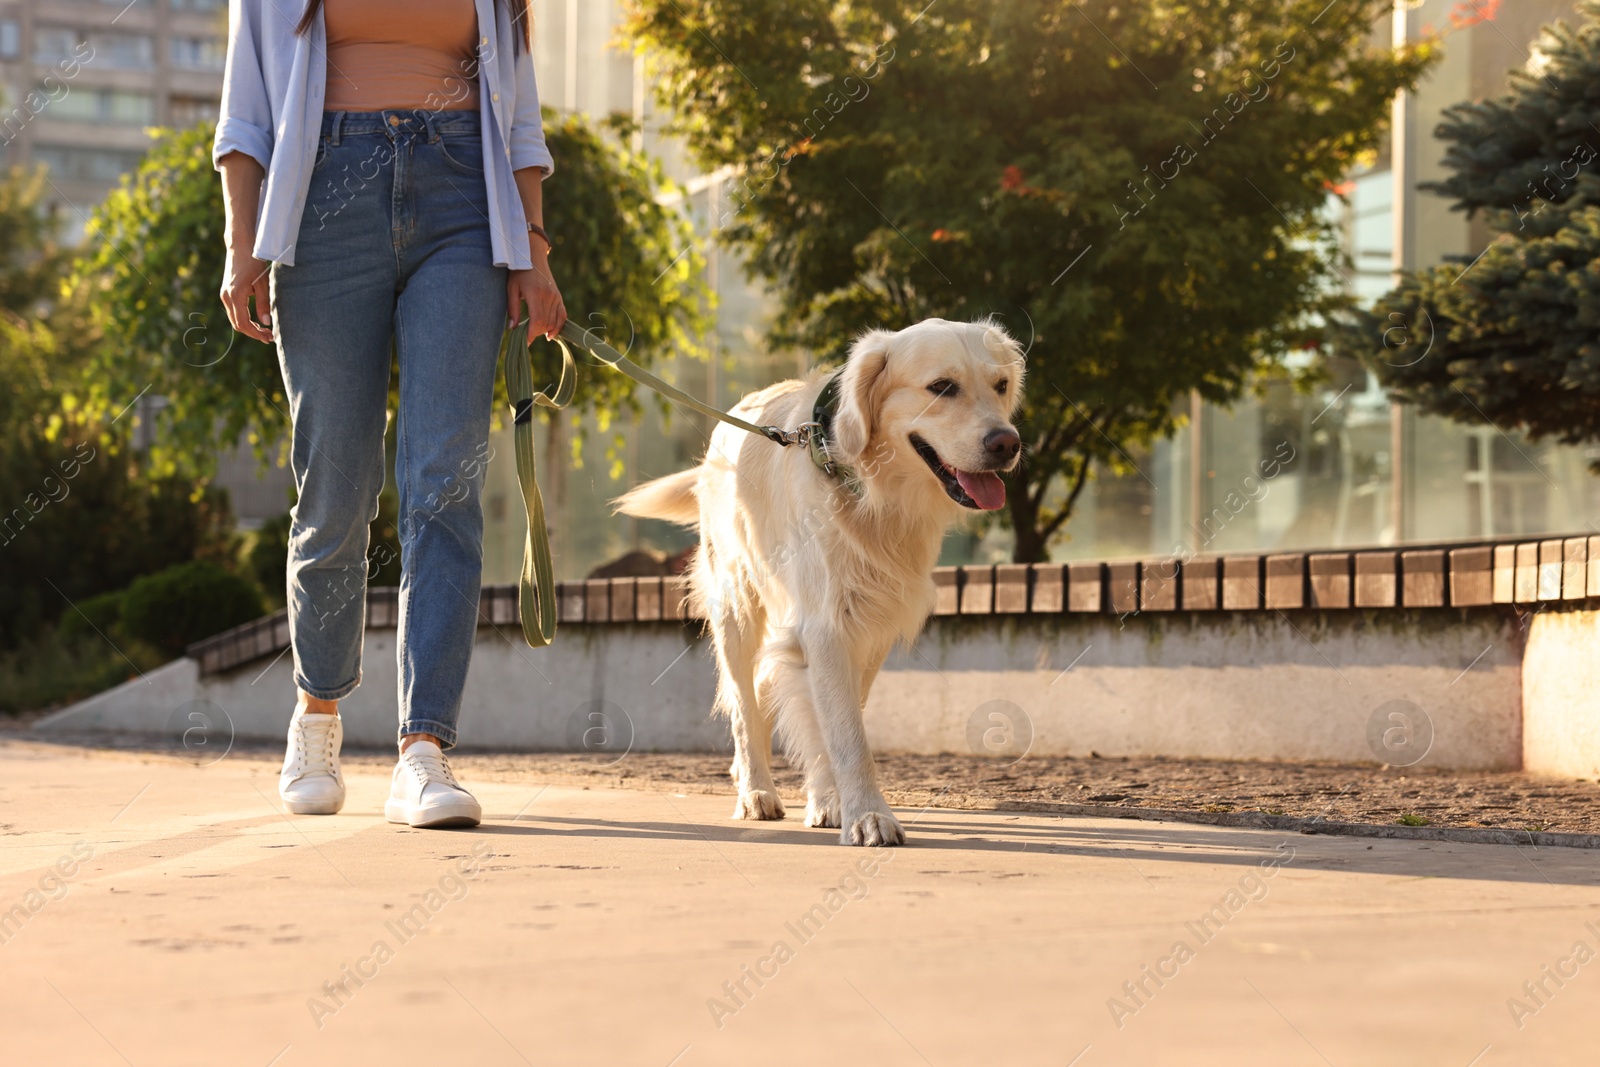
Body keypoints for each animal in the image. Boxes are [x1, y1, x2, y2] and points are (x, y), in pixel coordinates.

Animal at [611, 316, 1024, 844]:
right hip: (737, 609)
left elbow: (836, 721)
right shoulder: (826, 623)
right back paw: (755, 791)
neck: (872, 491)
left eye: (1001, 385)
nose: (1007, 443)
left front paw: (832, 802)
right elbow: (848, 734)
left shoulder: (868, 624)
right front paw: (869, 815)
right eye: (942, 387)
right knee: (744, 707)